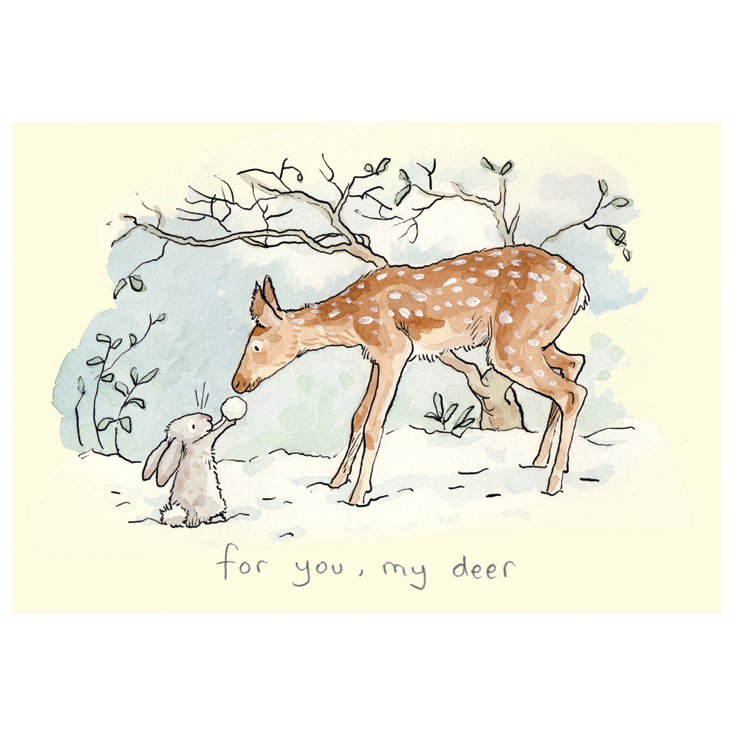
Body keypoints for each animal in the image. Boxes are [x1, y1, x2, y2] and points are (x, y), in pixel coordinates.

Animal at [232, 243, 589, 505]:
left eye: (256, 346)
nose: (237, 382)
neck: (353, 321)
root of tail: (579, 281)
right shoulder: (375, 357)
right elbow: (358, 416)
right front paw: (336, 480)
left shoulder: (395, 349)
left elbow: (374, 424)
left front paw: (357, 495)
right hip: (535, 339)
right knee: (574, 363)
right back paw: (542, 459)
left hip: (512, 343)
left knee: (571, 392)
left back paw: (553, 482)